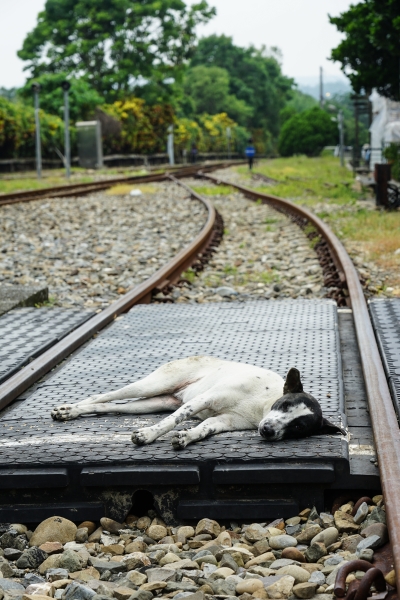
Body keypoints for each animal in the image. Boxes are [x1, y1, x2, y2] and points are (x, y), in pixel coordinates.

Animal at [50, 354, 344, 448]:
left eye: (297, 428)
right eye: (284, 406)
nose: (268, 430)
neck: (260, 404)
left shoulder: (223, 421)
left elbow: (203, 429)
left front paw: (187, 437)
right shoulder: (206, 399)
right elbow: (173, 421)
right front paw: (147, 435)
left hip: (153, 402)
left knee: (107, 406)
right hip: (153, 384)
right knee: (102, 396)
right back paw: (68, 410)